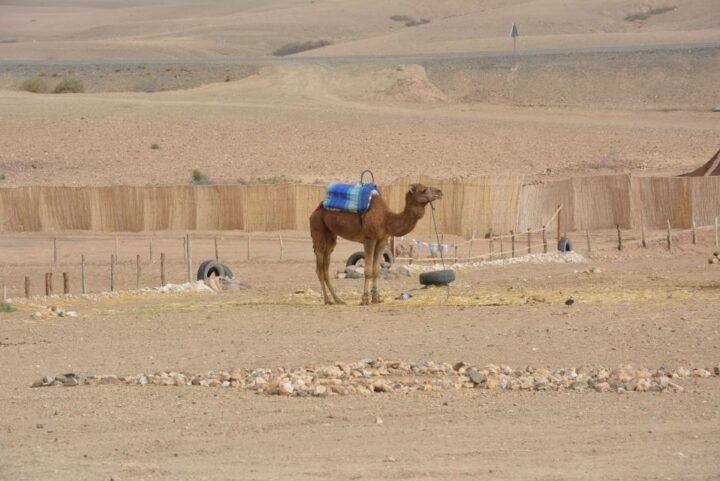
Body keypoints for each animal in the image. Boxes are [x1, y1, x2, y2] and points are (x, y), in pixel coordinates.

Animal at [310, 184, 444, 304]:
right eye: (423, 190)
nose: (440, 192)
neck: (387, 219)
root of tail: (315, 210)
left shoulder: (382, 240)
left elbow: (376, 270)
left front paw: (376, 298)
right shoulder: (369, 239)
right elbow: (368, 270)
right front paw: (365, 300)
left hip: (331, 236)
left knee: (326, 266)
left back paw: (338, 300)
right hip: (318, 229)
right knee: (319, 267)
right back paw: (328, 300)